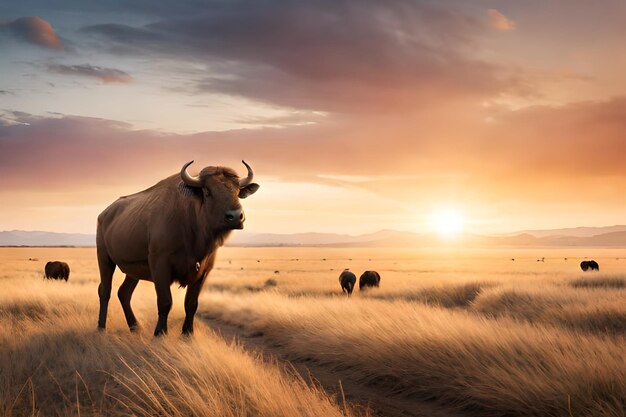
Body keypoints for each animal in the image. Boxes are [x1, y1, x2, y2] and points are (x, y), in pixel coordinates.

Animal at [94, 159, 258, 334]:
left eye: (237, 190)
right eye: (207, 191)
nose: (236, 216)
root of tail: (104, 214)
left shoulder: (203, 271)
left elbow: (191, 304)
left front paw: (188, 333)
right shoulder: (160, 266)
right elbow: (165, 302)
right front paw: (160, 333)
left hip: (133, 271)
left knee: (124, 293)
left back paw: (136, 327)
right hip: (104, 258)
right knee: (105, 291)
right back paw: (101, 328)